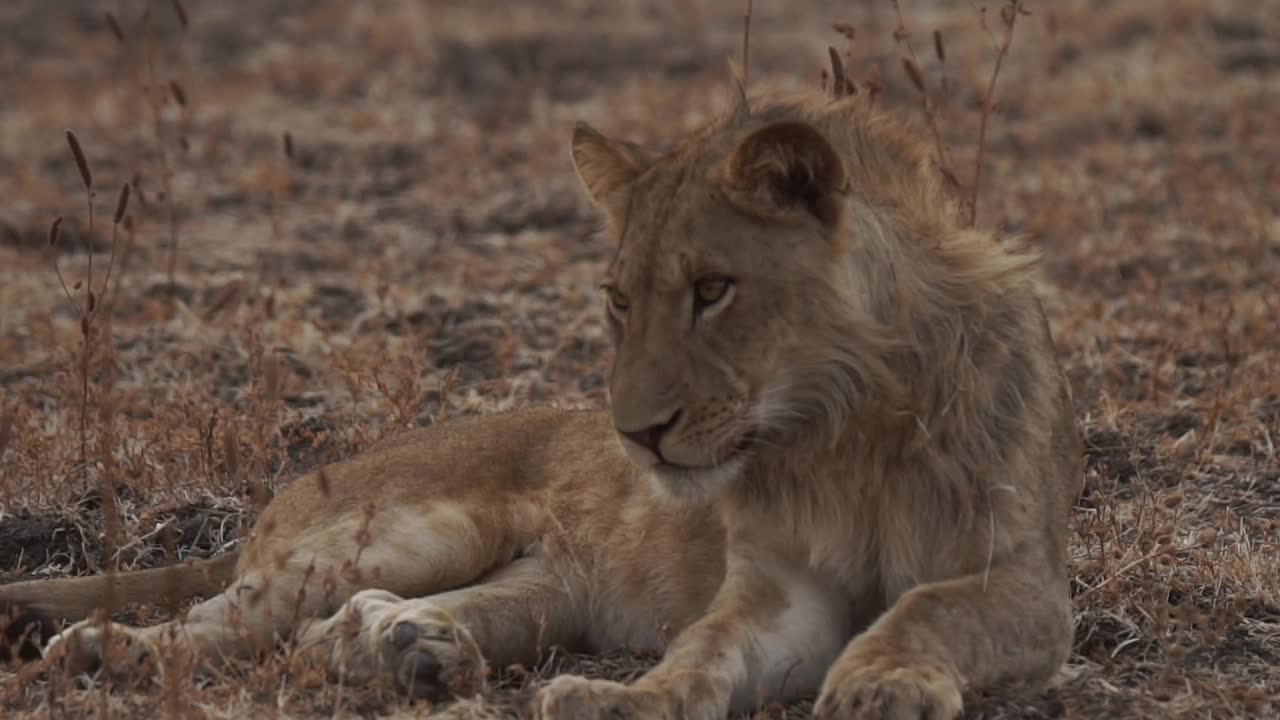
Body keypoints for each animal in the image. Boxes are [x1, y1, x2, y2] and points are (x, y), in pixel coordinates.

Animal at [0, 79, 1080, 717]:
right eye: (619, 299)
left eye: (712, 289)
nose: (637, 436)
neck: (832, 429)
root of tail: (291, 490)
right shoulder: (778, 589)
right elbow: (702, 650)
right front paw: (624, 702)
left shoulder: (1024, 583)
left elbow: (930, 606)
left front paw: (881, 679)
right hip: (416, 530)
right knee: (232, 614)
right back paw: (108, 655)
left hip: (543, 592)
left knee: (333, 622)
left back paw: (416, 651)